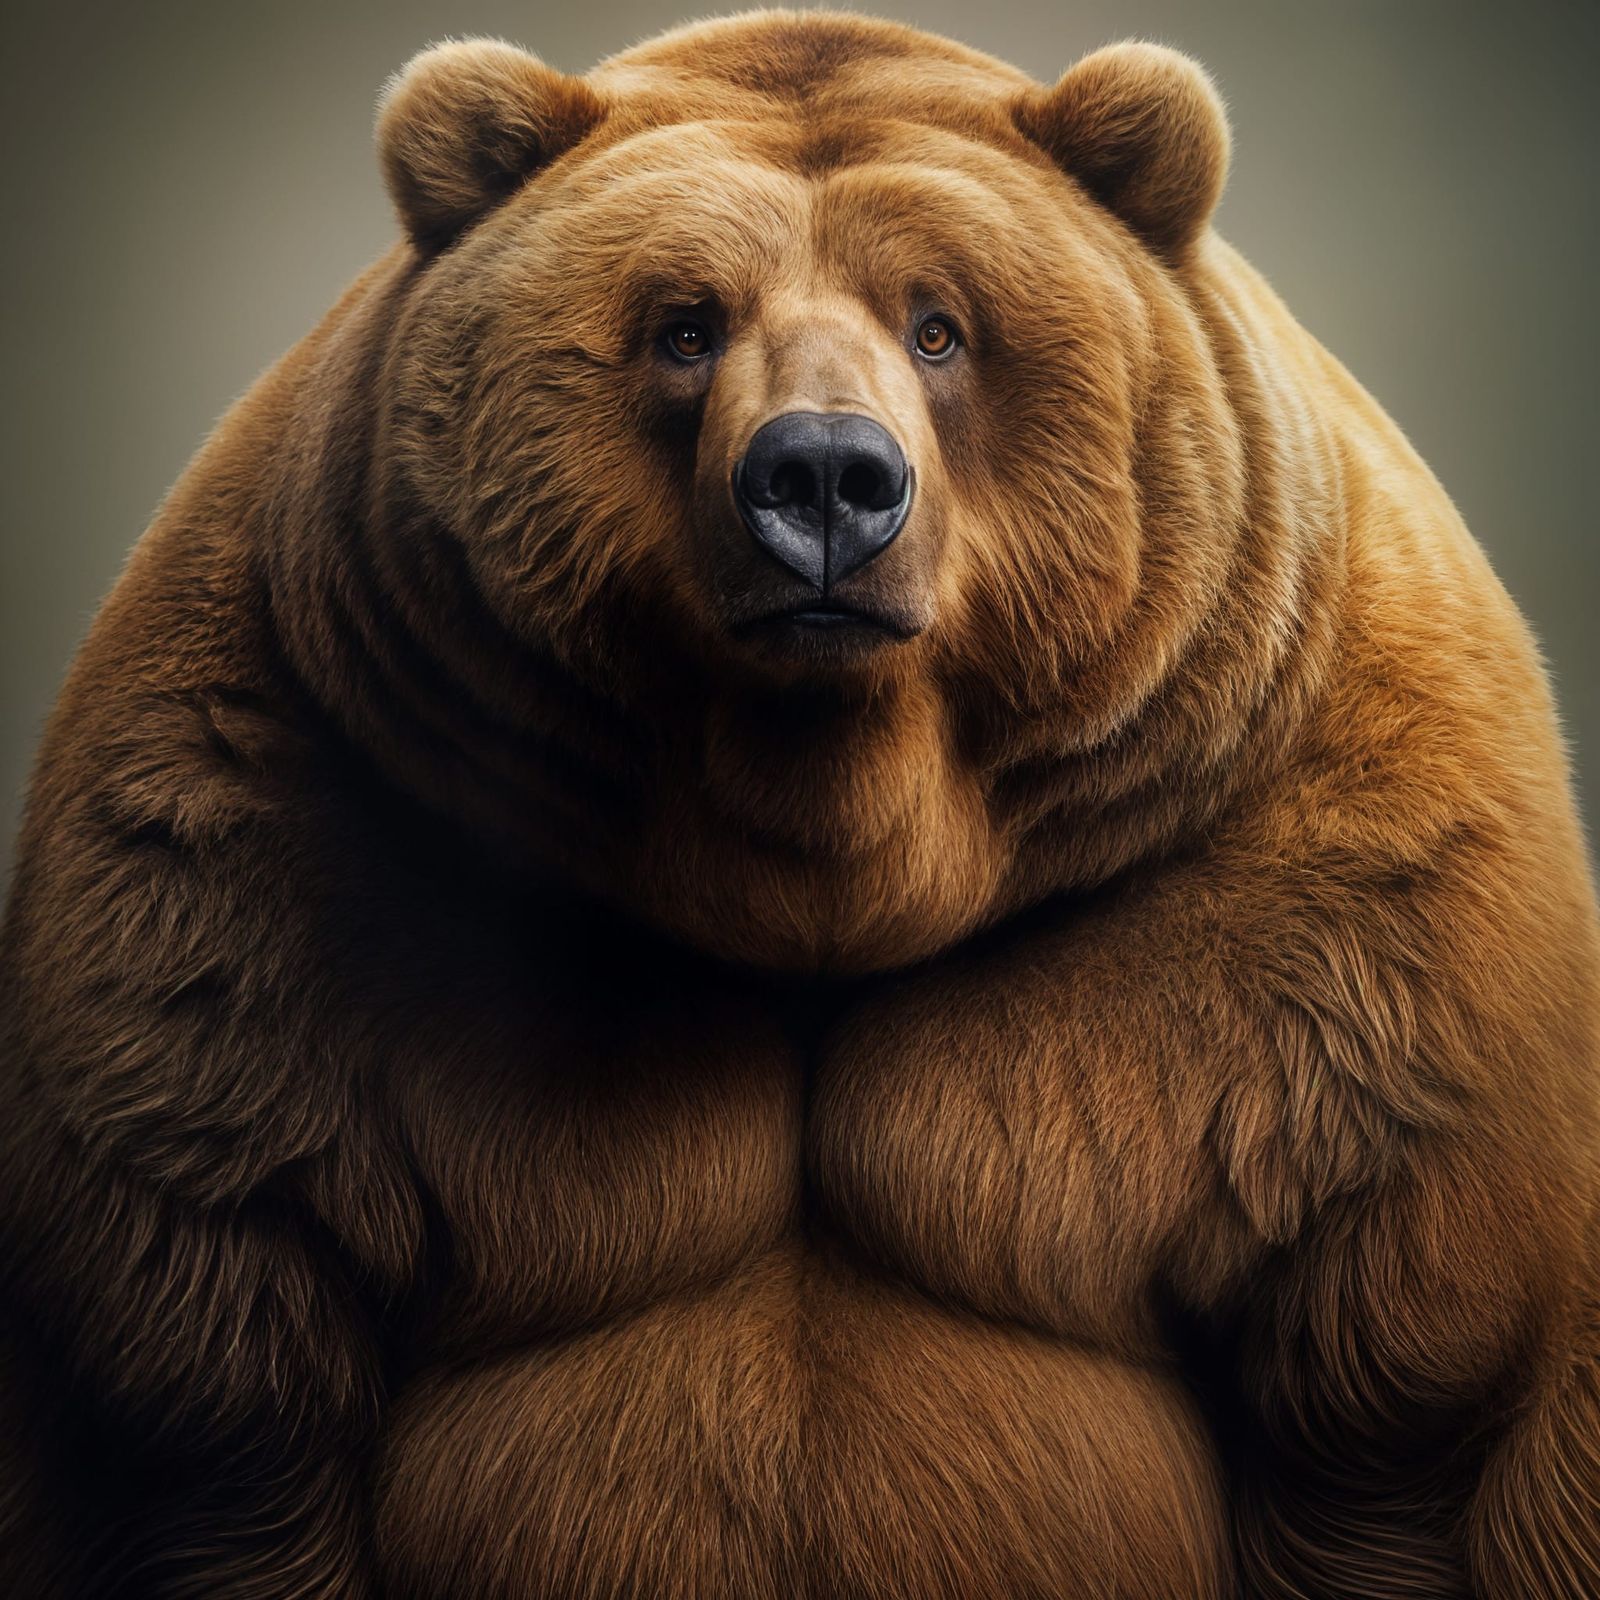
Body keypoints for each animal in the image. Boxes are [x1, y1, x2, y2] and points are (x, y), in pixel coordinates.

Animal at [2, 8, 1598, 1597]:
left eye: (939, 325)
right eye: (684, 324)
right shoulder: (282, 864)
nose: (825, 475)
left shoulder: (1330, 924)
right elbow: (224, 1355)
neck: (831, 850)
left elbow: (1391, 1389)